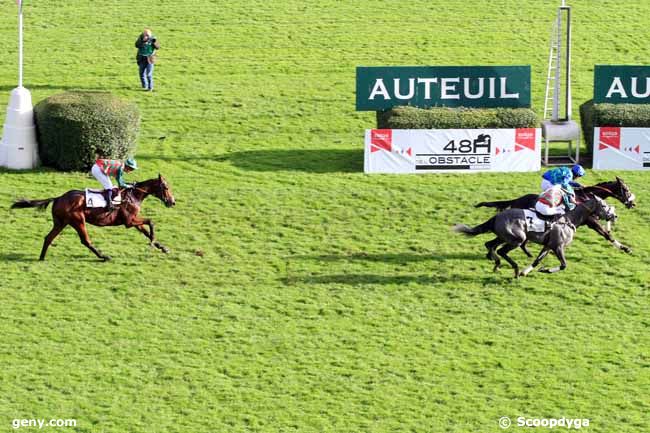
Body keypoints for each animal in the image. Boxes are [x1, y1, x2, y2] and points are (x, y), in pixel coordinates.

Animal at [12, 173, 175, 260]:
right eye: (166, 187)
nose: (172, 202)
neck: (133, 195)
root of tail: (58, 198)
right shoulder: (129, 221)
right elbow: (151, 222)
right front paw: (153, 242)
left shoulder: (134, 220)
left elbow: (146, 230)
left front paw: (163, 247)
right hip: (78, 220)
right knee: (85, 240)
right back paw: (103, 256)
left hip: (61, 222)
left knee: (49, 237)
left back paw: (41, 258)